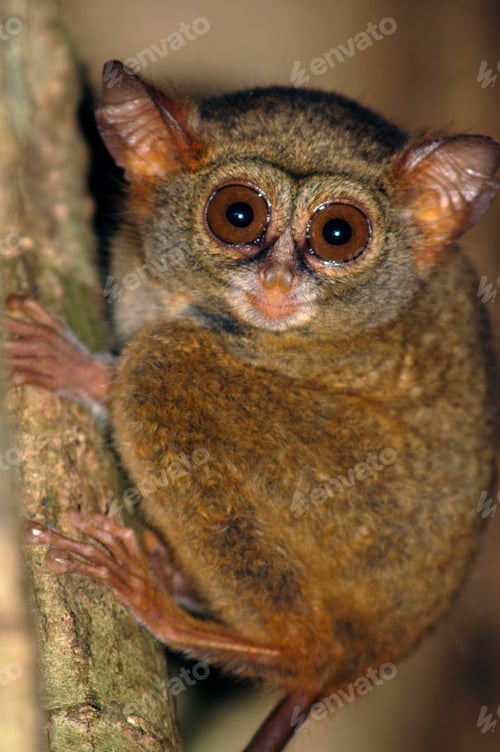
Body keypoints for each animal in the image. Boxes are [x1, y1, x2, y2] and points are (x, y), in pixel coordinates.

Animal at [6, 60, 499, 751]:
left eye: (338, 234)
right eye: (237, 215)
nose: (278, 281)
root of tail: (377, 650)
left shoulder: (335, 358)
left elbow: (140, 369)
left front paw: (71, 364)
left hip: (370, 503)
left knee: (163, 363)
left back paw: (180, 608)